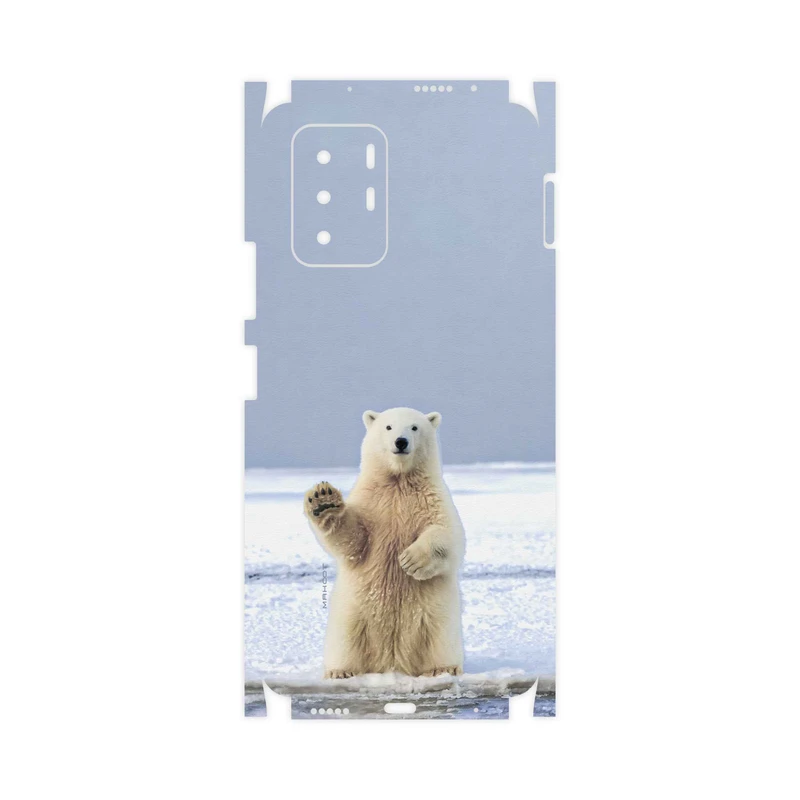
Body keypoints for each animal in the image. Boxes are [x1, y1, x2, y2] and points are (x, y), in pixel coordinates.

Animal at [304, 407, 465, 679]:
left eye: (414, 427)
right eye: (388, 427)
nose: (401, 442)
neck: (398, 481)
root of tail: (392, 662)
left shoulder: (432, 499)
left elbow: (448, 534)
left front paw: (410, 560)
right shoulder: (372, 502)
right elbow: (353, 540)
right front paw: (323, 501)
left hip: (437, 615)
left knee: (440, 637)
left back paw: (443, 668)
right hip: (352, 613)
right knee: (346, 640)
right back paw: (340, 671)